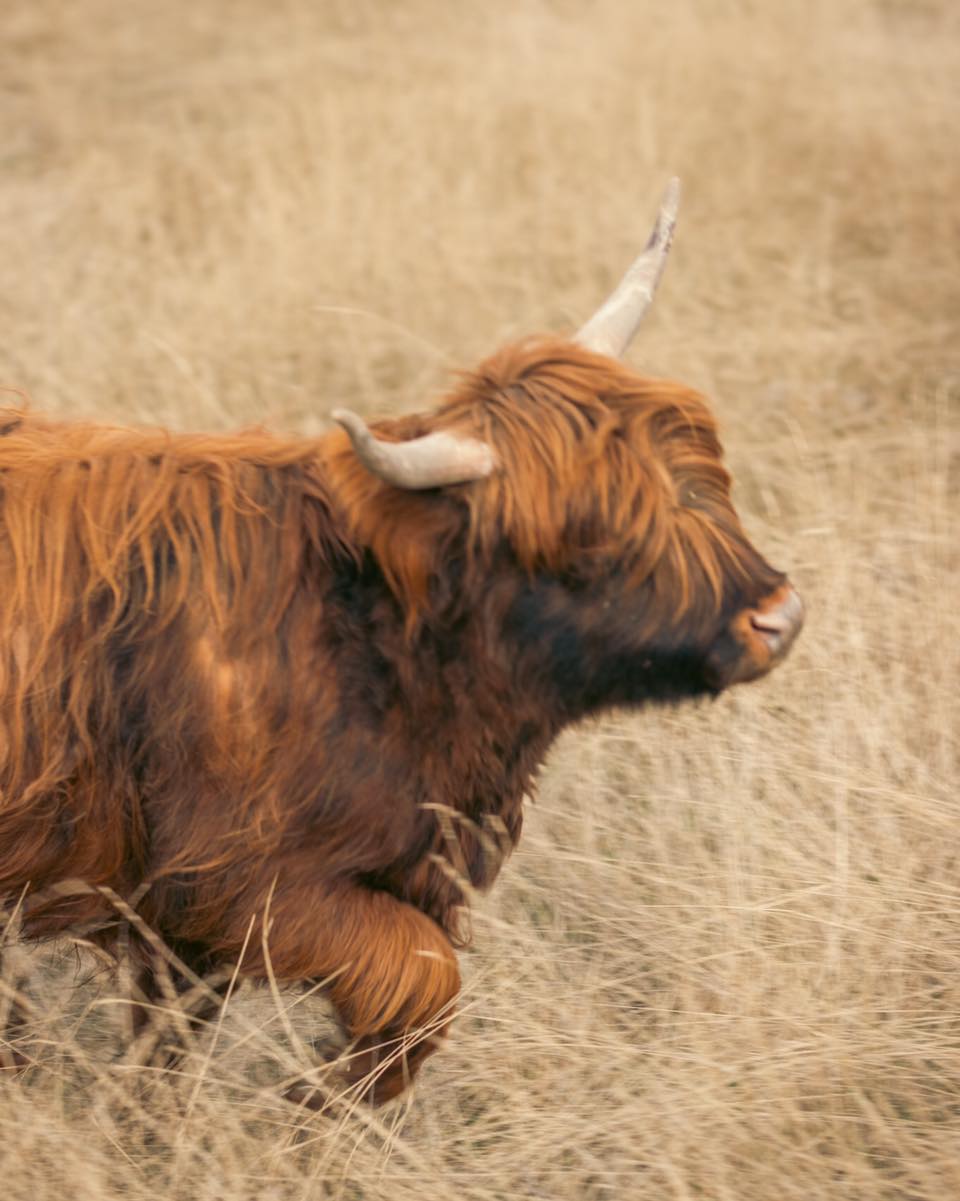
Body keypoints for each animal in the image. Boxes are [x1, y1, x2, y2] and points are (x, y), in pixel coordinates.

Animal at [0, 181, 802, 1106]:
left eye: (702, 466)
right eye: (587, 542)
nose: (778, 616)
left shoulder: (199, 919)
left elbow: (169, 1041)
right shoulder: (237, 887)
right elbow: (422, 981)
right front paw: (316, 1100)